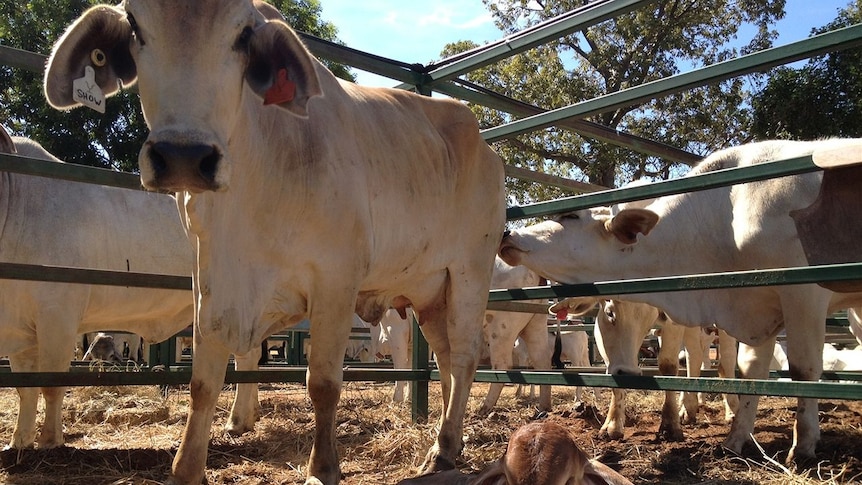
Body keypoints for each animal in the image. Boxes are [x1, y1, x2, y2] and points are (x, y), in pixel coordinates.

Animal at [47, 1, 506, 482]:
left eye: (244, 35)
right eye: (135, 26)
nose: (183, 156)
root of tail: (485, 146)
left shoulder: (336, 279)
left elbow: (322, 383)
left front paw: (322, 467)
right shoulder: (209, 280)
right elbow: (203, 382)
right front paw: (186, 467)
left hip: (470, 273)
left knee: (466, 357)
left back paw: (444, 448)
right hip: (430, 292)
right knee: (448, 362)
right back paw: (447, 441)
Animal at [502, 137, 862, 466]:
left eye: (571, 215)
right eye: (609, 312)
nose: (508, 234)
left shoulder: (801, 293)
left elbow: (799, 368)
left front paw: (802, 445)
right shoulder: (758, 305)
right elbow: (750, 371)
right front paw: (614, 425)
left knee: (721, 363)